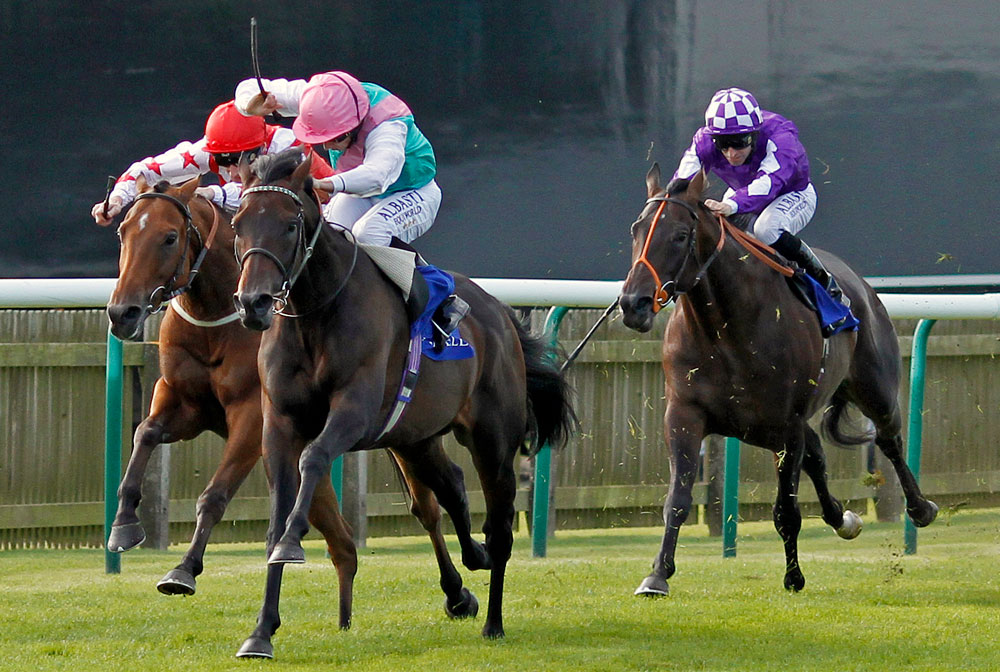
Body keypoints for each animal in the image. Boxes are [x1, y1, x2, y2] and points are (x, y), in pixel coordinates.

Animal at [106, 175, 512, 632]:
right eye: (123, 233)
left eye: (169, 237)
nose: (122, 312)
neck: (219, 322)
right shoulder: (183, 402)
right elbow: (144, 433)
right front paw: (124, 525)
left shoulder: (252, 417)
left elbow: (214, 495)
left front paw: (184, 568)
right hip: (411, 436)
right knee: (422, 499)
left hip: (407, 430)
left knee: (428, 504)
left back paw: (462, 585)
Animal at [227, 150, 572, 660]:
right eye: (238, 224)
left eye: (290, 225)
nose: (253, 303)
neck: (316, 315)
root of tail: (501, 315)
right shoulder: (281, 424)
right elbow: (275, 516)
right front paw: (261, 631)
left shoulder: (354, 408)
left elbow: (315, 458)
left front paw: (292, 541)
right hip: (415, 436)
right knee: (448, 489)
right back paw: (467, 576)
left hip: (493, 441)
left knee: (500, 526)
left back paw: (493, 620)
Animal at [616, 165, 936, 596]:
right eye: (635, 229)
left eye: (680, 235)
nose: (632, 304)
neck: (725, 329)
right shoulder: (684, 414)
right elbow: (677, 498)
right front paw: (657, 575)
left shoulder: (785, 425)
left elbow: (786, 510)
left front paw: (793, 576)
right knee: (817, 452)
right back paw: (843, 518)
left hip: (872, 388)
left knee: (889, 440)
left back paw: (920, 508)